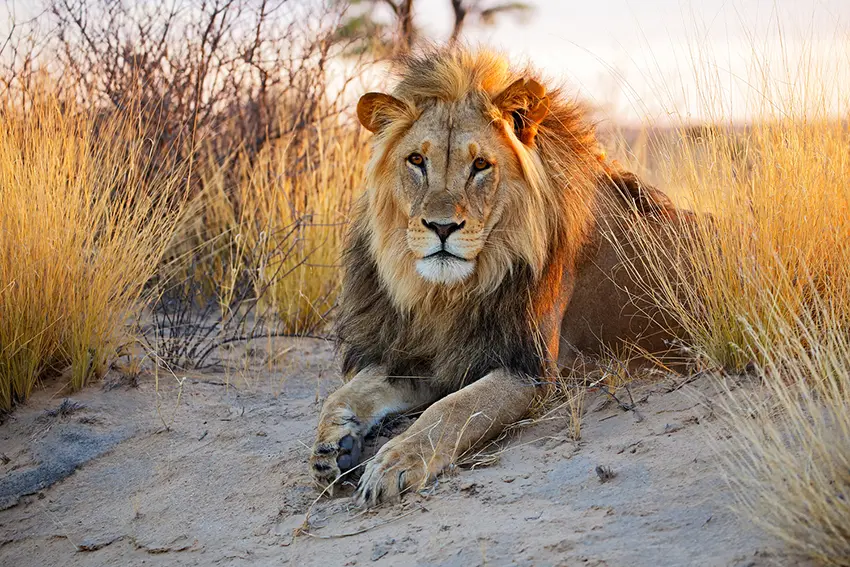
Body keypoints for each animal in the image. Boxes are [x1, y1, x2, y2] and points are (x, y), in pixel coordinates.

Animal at [310, 48, 691, 507]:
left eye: (480, 165)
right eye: (416, 161)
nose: (441, 227)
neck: (448, 294)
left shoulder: (530, 369)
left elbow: (451, 410)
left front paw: (394, 462)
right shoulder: (430, 355)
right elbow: (347, 393)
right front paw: (332, 446)